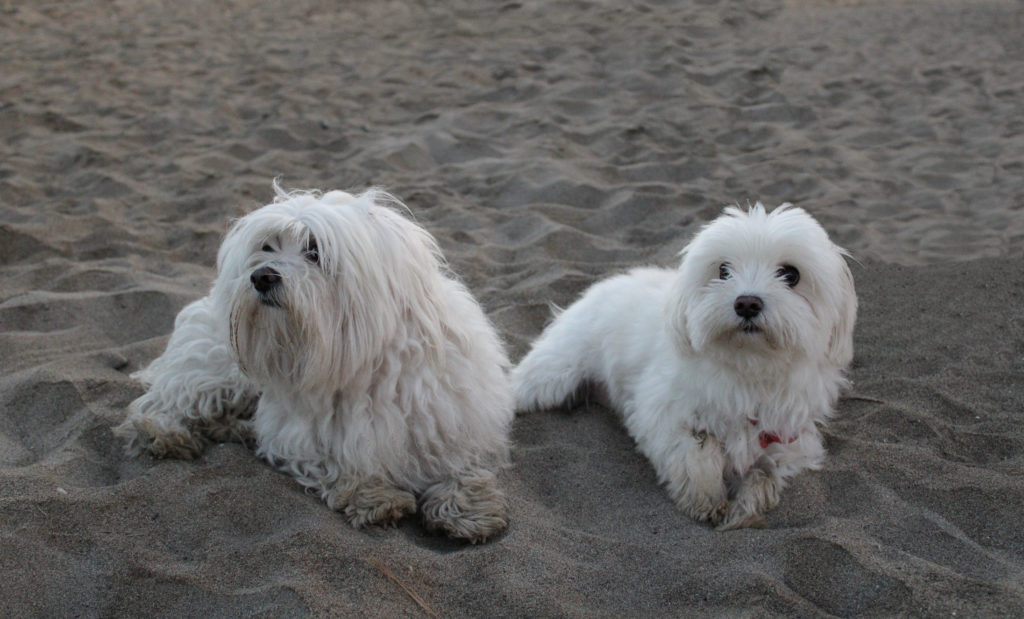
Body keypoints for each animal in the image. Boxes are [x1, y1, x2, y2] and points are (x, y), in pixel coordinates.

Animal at [117, 183, 516, 541]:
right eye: (267, 246)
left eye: (315, 251)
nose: (261, 276)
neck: (364, 366)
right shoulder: (301, 436)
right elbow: (338, 464)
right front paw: (373, 496)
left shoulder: (451, 418)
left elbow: (460, 463)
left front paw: (467, 507)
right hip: (215, 368)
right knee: (164, 402)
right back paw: (168, 433)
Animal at [512, 203, 856, 532]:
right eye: (723, 270)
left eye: (790, 274)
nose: (746, 303)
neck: (749, 366)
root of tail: (605, 285)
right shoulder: (659, 414)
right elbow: (695, 453)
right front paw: (707, 499)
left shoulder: (790, 437)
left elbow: (766, 473)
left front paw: (748, 506)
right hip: (556, 370)